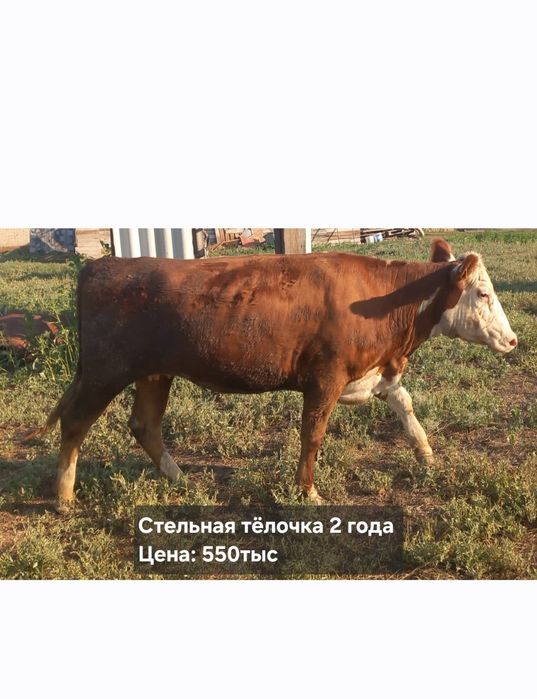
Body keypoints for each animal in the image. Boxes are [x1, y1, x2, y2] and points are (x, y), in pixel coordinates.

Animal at [35, 237, 517, 514]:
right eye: (483, 293)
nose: (513, 341)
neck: (384, 301)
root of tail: (103, 266)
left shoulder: (376, 372)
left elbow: (406, 405)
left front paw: (427, 455)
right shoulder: (325, 379)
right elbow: (312, 435)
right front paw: (308, 492)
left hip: (155, 373)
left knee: (144, 425)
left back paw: (180, 478)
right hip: (105, 372)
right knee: (75, 422)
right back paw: (63, 497)